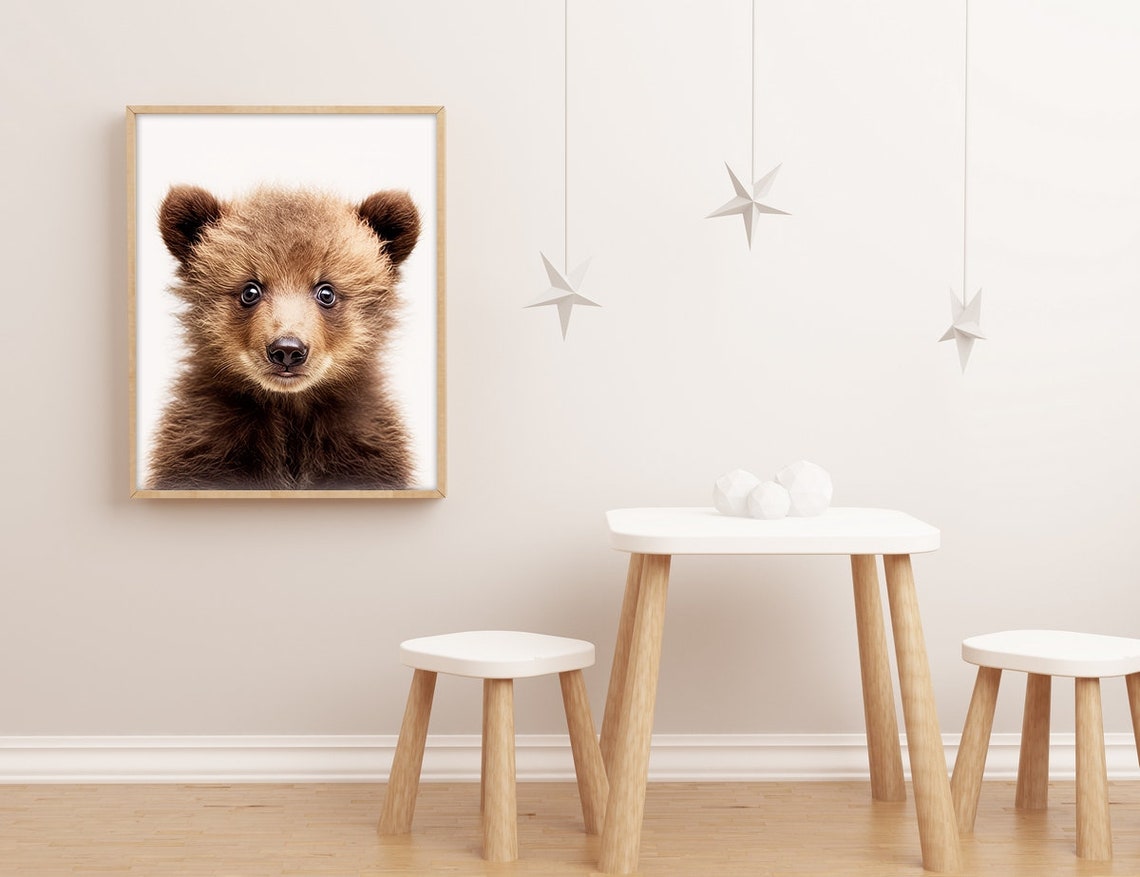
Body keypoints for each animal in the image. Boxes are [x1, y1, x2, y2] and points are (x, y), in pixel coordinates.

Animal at [146, 184, 421, 491]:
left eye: (326, 292)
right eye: (250, 290)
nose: (287, 350)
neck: (289, 407)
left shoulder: (362, 446)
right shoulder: (206, 445)